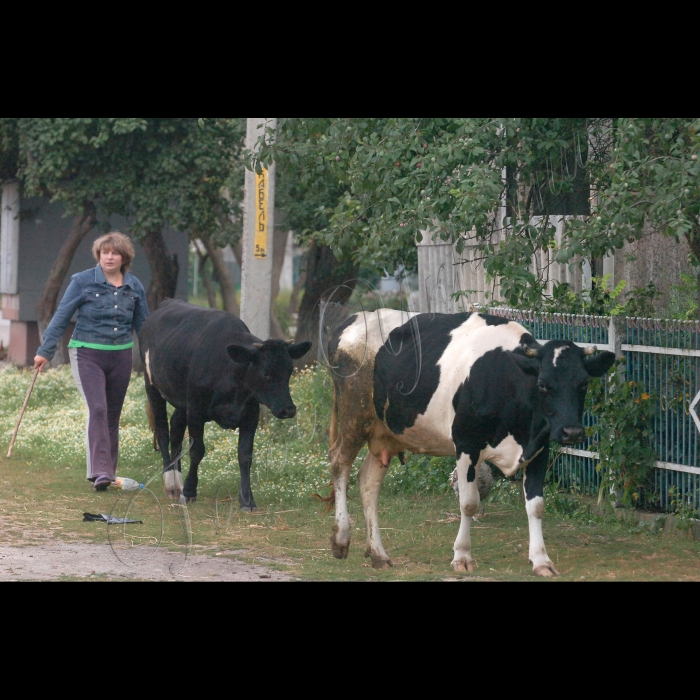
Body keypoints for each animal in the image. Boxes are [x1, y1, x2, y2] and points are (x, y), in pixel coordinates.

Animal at [138, 300, 310, 508]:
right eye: (266, 373)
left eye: (289, 371)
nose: (288, 409)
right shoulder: (195, 410)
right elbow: (197, 450)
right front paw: (189, 491)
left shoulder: (250, 414)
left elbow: (245, 455)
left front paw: (247, 499)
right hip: (152, 387)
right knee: (163, 431)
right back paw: (171, 483)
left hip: (181, 400)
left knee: (176, 429)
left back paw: (177, 481)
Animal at [328, 308, 612, 576]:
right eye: (542, 384)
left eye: (583, 383)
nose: (571, 431)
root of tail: (351, 321)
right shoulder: (466, 444)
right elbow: (468, 503)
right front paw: (462, 556)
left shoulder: (539, 447)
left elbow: (536, 506)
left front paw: (541, 560)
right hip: (355, 416)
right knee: (339, 464)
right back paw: (341, 539)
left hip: (385, 433)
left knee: (368, 481)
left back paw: (379, 554)